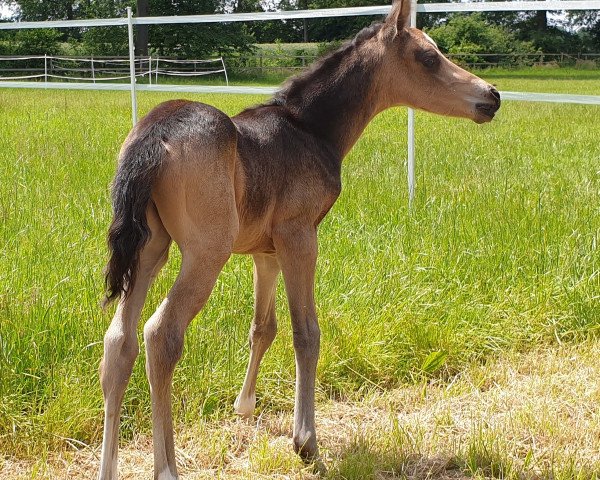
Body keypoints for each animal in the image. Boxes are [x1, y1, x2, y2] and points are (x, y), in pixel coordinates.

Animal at [98, 0, 502, 478]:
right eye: (428, 57)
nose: (492, 96)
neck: (311, 130)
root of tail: (153, 135)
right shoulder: (300, 235)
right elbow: (306, 332)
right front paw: (306, 442)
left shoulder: (266, 252)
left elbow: (263, 327)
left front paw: (245, 407)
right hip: (205, 253)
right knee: (161, 334)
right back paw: (168, 468)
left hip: (149, 249)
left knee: (119, 342)